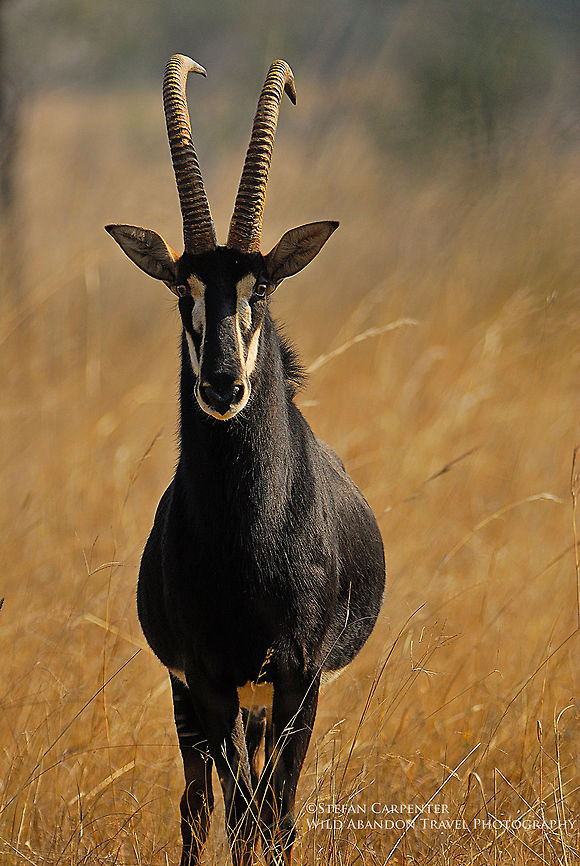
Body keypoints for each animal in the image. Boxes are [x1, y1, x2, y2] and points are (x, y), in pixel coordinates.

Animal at [106, 54, 385, 866]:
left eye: (260, 286)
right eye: (182, 289)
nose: (223, 386)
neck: (247, 537)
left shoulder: (299, 679)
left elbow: (277, 814)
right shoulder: (206, 679)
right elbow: (236, 812)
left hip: (266, 701)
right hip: (198, 701)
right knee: (198, 803)